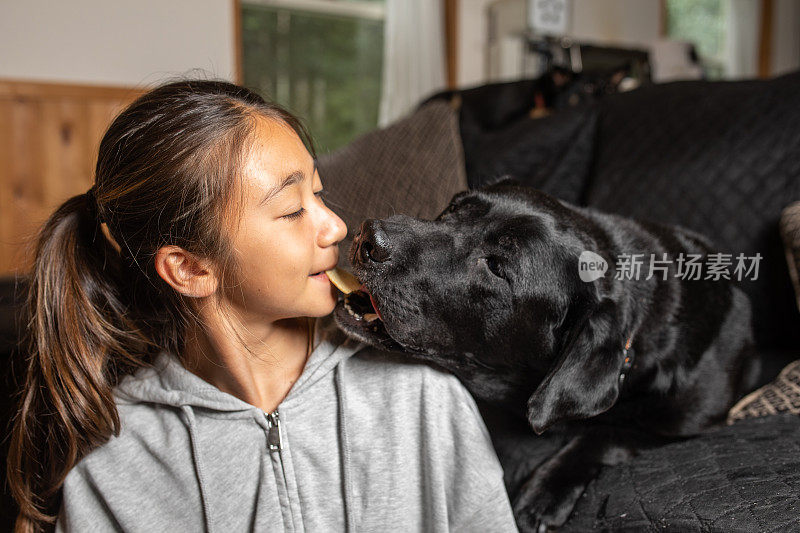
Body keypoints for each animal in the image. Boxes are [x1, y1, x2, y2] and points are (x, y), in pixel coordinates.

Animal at [334, 181, 760, 528]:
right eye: (454, 208)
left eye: (496, 267)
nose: (371, 237)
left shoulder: (691, 424)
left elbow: (608, 433)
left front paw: (545, 494)